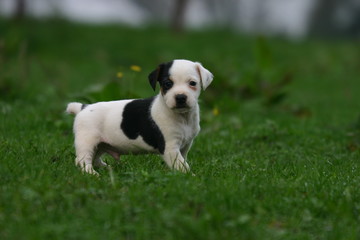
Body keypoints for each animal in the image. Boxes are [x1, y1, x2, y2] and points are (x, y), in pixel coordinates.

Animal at [65, 58, 212, 173]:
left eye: (192, 83)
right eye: (167, 84)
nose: (180, 97)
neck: (182, 117)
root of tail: (83, 108)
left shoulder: (185, 145)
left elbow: (183, 161)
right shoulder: (170, 147)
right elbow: (182, 165)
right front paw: (190, 177)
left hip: (101, 144)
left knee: (95, 158)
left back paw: (107, 168)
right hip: (87, 142)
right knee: (83, 160)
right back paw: (92, 173)